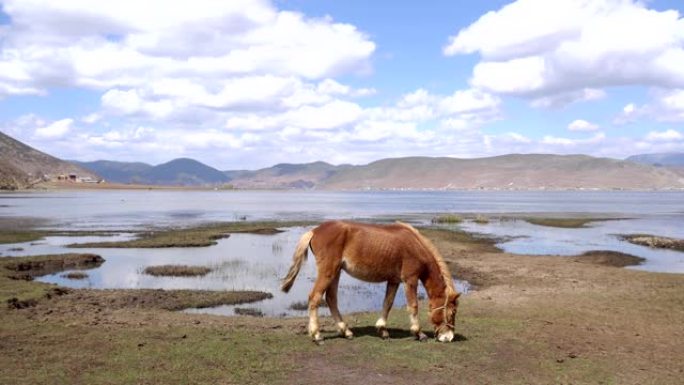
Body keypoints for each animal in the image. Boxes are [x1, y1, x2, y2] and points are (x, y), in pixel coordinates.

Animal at [280, 219, 462, 342]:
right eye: (452, 312)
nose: (449, 337)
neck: (415, 246)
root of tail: (315, 231)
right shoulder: (410, 280)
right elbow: (413, 306)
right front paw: (419, 333)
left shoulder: (393, 281)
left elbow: (387, 303)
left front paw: (382, 330)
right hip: (328, 272)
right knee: (315, 297)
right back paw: (317, 334)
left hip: (336, 272)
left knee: (331, 298)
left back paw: (346, 331)